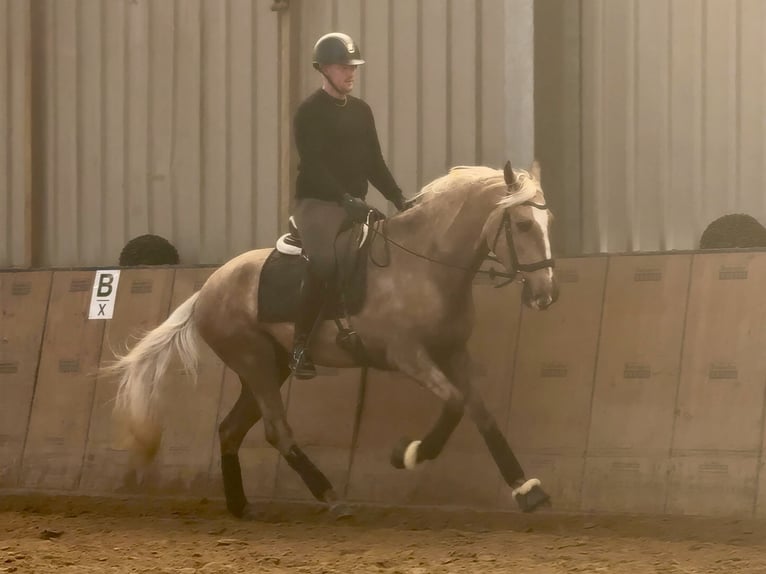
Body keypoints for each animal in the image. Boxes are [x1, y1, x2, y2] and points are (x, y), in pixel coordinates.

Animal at [109, 160, 558, 519]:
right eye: (522, 225)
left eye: (548, 222)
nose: (546, 294)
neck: (426, 266)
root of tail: (208, 288)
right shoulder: (408, 355)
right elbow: (455, 403)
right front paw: (408, 454)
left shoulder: (453, 352)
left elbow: (481, 414)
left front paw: (526, 489)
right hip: (255, 363)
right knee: (276, 431)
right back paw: (330, 496)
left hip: (268, 366)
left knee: (231, 429)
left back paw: (241, 506)